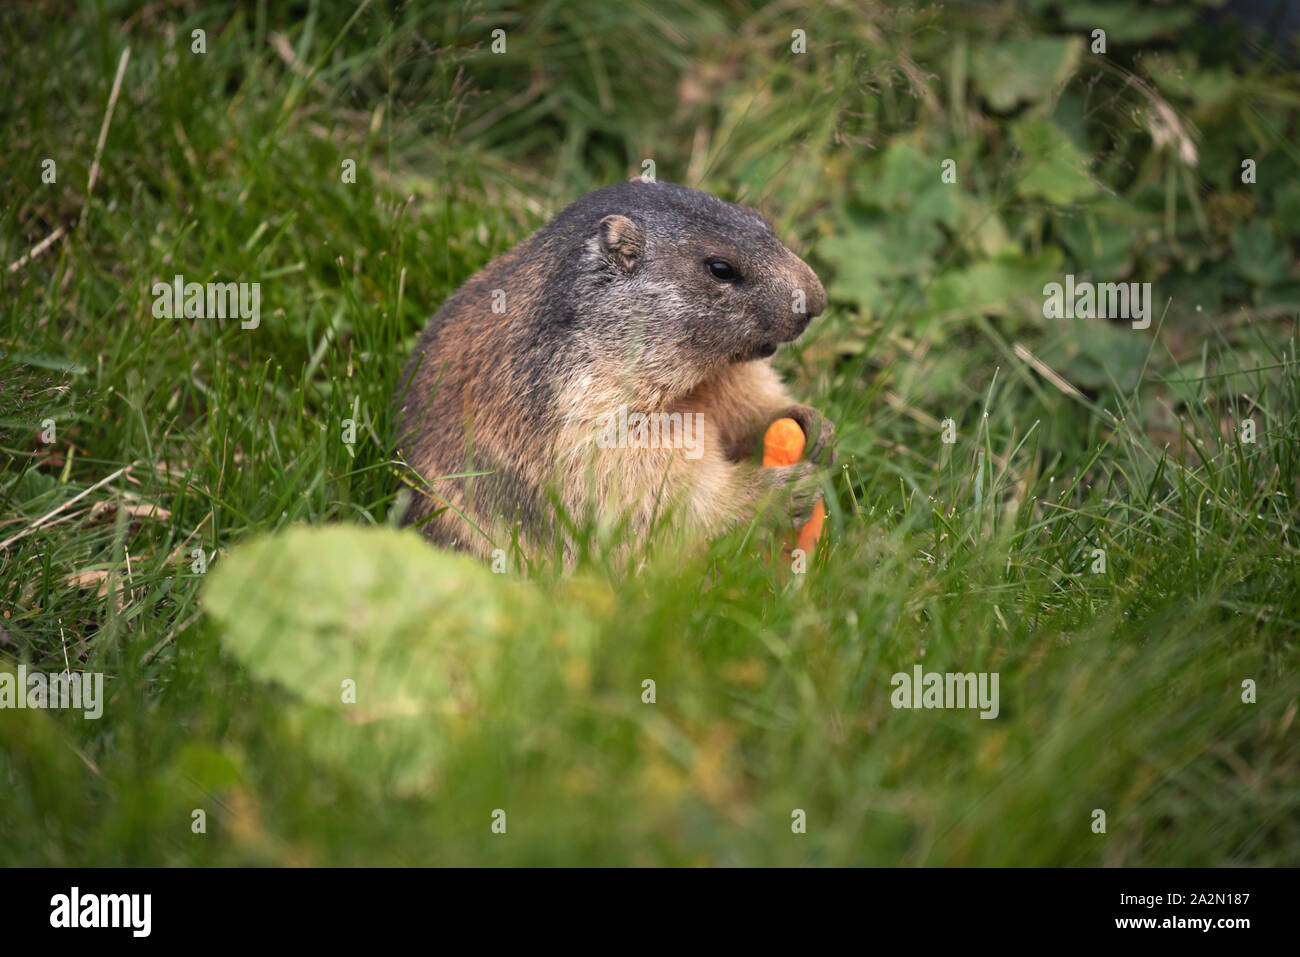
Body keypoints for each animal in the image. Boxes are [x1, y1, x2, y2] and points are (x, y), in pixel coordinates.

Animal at [393, 180, 835, 564]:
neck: (693, 381)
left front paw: (809, 423)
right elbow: (647, 494)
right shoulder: (586, 413)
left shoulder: (724, 377)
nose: (817, 300)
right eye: (721, 268)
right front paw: (777, 491)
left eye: (763, 222)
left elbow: (745, 400)